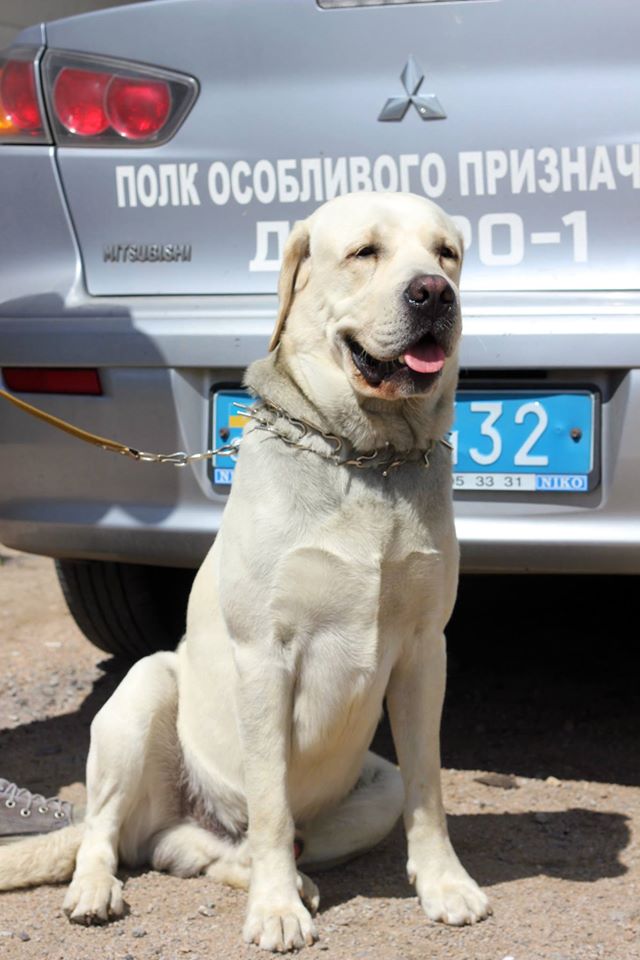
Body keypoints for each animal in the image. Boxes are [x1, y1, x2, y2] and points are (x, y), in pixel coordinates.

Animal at [0, 191, 490, 948]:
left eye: (447, 253)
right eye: (365, 252)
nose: (434, 293)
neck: (369, 458)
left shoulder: (422, 652)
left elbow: (428, 788)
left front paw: (444, 885)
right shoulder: (265, 655)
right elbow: (270, 803)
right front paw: (275, 909)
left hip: (369, 787)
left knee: (197, 850)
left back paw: (292, 877)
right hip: (143, 693)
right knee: (108, 831)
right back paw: (100, 888)